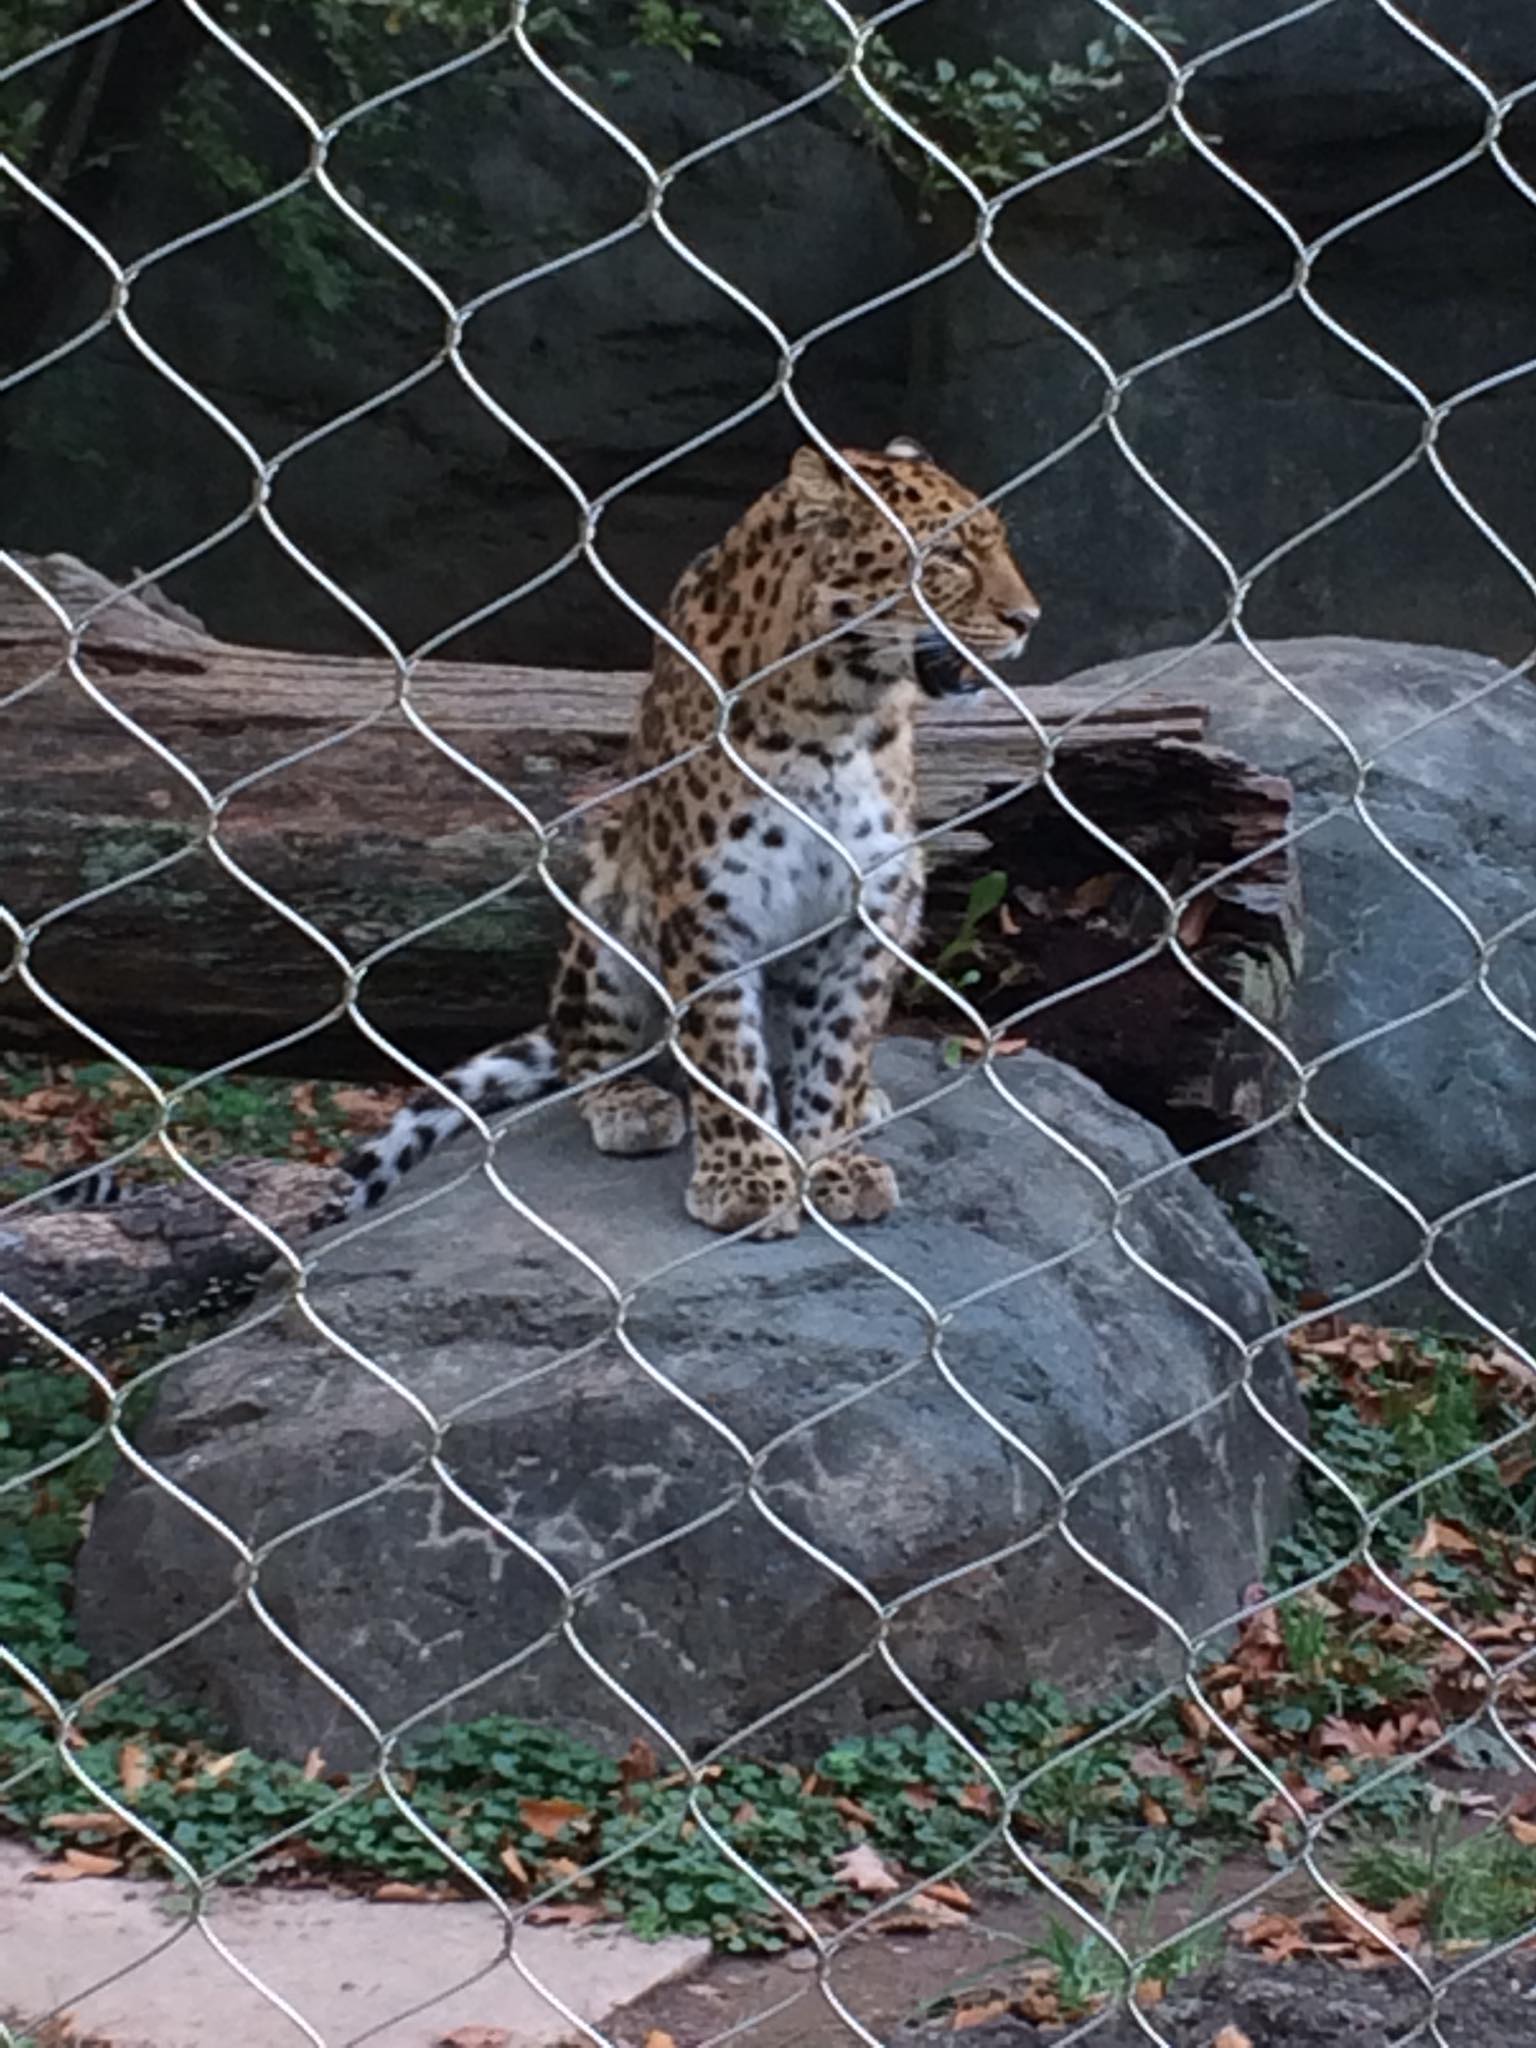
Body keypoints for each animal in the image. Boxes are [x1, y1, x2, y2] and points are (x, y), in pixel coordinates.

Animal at [339, 437, 1041, 1237]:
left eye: (998, 545)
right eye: (947, 554)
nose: (1028, 619)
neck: (838, 715)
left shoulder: (876, 907)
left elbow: (839, 1050)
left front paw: (834, 1159)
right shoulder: (711, 908)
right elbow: (725, 1051)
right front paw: (746, 1180)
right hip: (604, 907)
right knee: (590, 1055)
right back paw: (629, 1104)